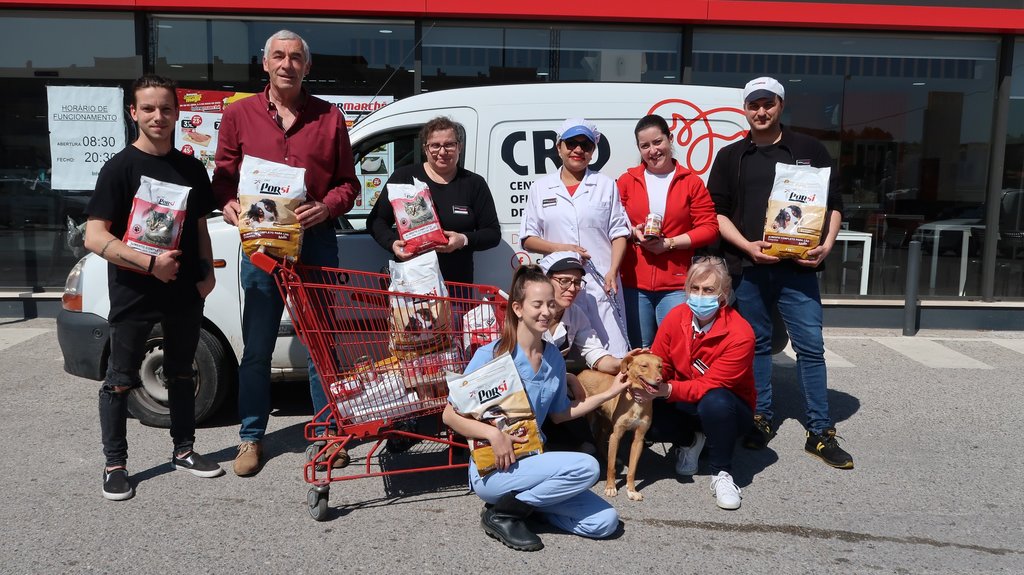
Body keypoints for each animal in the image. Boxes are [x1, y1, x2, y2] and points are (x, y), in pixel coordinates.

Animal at [577, 351, 663, 499]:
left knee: (600, 440)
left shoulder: (638, 439)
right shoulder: (616, 435)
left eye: (660, 367)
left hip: (606, 423)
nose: (659, 379)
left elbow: (632, 470)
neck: (636, 402)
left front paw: (632, 490)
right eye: (644, 366)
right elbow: (611, 468)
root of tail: (582, 372)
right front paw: (611, 487)